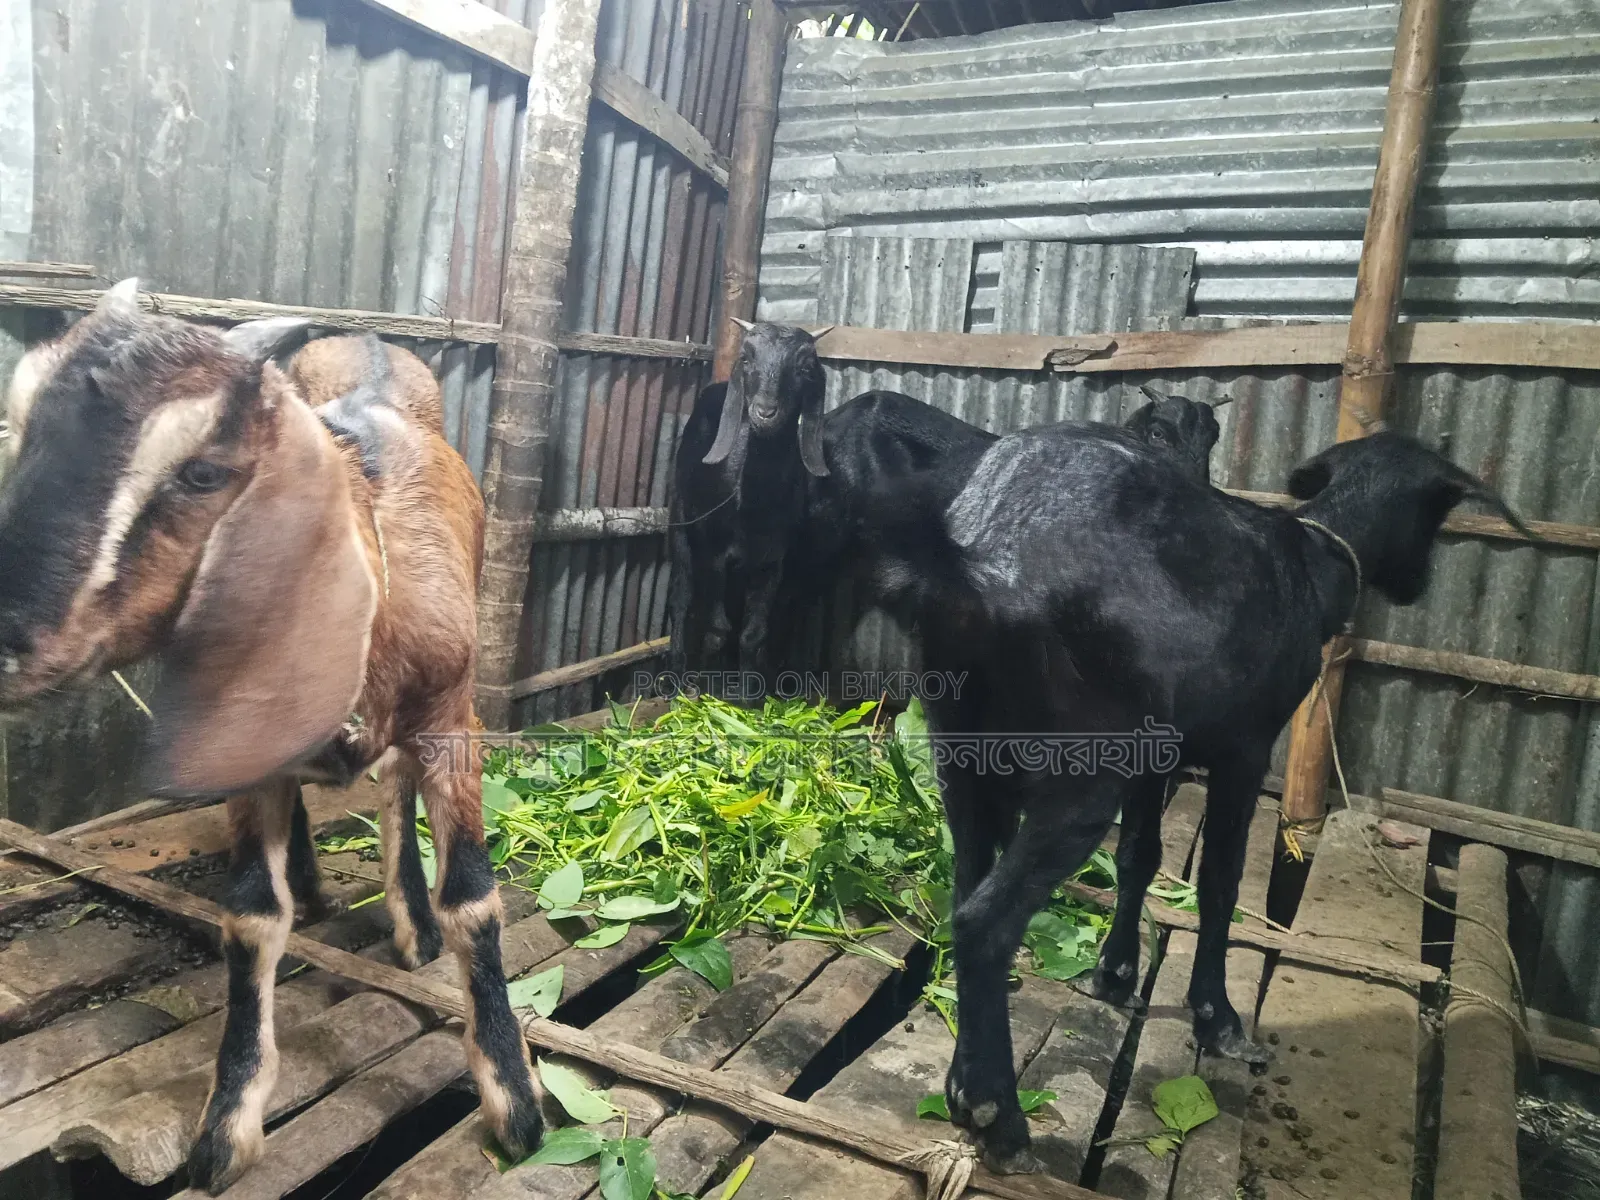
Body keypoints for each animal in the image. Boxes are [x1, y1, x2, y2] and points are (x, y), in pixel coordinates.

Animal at [0, 283, 541, 1193]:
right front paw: (228, 1125)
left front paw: (517, 1106)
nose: (8, 643)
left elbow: (474, 899)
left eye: (202, 471)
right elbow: (252, 915)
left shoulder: (453, 719)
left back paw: (410, 921)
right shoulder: (248, 742)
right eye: (17, 432)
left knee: (396, 788)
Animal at [663, 318, 830, 695]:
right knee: (681, 597)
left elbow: (754, 634)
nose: (764, 412)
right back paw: (676, 677)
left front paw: (748, 695)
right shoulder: (713, 554)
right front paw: (708, 690)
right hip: (681, 524)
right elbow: (717, 629)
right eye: (748, 359)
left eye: (804, 367)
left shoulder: (773, 561)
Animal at [857, 421, 1536, 1173]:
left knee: (964, 891)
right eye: (1438, 511)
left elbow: (1141, 857)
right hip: (1079, 775)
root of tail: (984, 556)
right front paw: (1219, 1020)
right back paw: (996, 1115)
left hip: (963, 757)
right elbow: (1219, 883)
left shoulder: (1158, 758)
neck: (1315, 560)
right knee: (985, 922)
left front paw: (1116, 975)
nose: (1419, 584)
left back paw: (961, 1081)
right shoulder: (1244, 750)